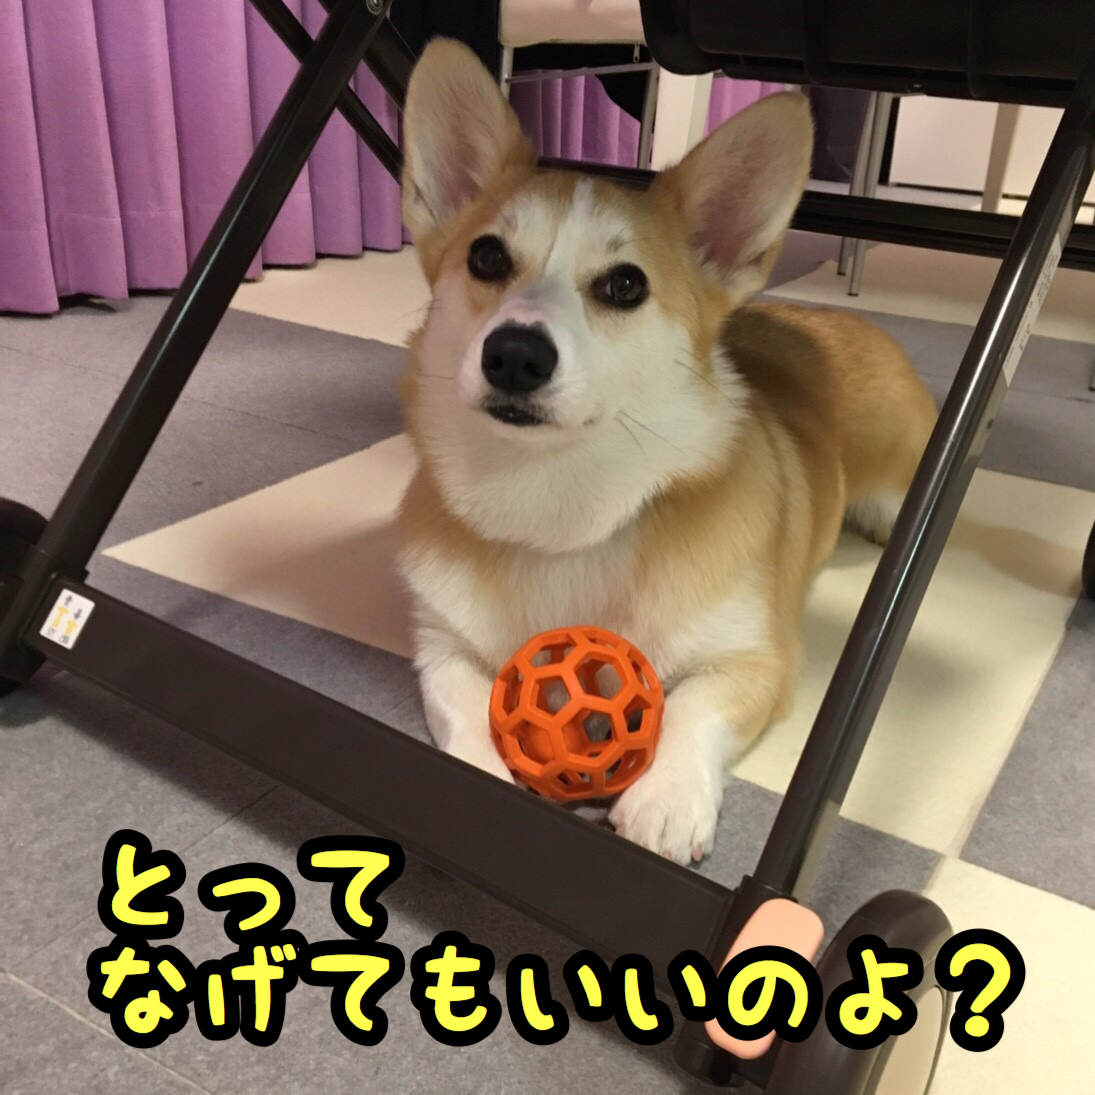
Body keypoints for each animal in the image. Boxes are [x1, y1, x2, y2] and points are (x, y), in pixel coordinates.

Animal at [394, 39, 937, 865]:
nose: (514, 354)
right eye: (485, 258)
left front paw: (668, 799)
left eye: (624, 284)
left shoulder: (752, 660)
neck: (557, 502)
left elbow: (692, 707)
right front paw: (479, 775)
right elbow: (463, 710)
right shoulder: (440, 646)